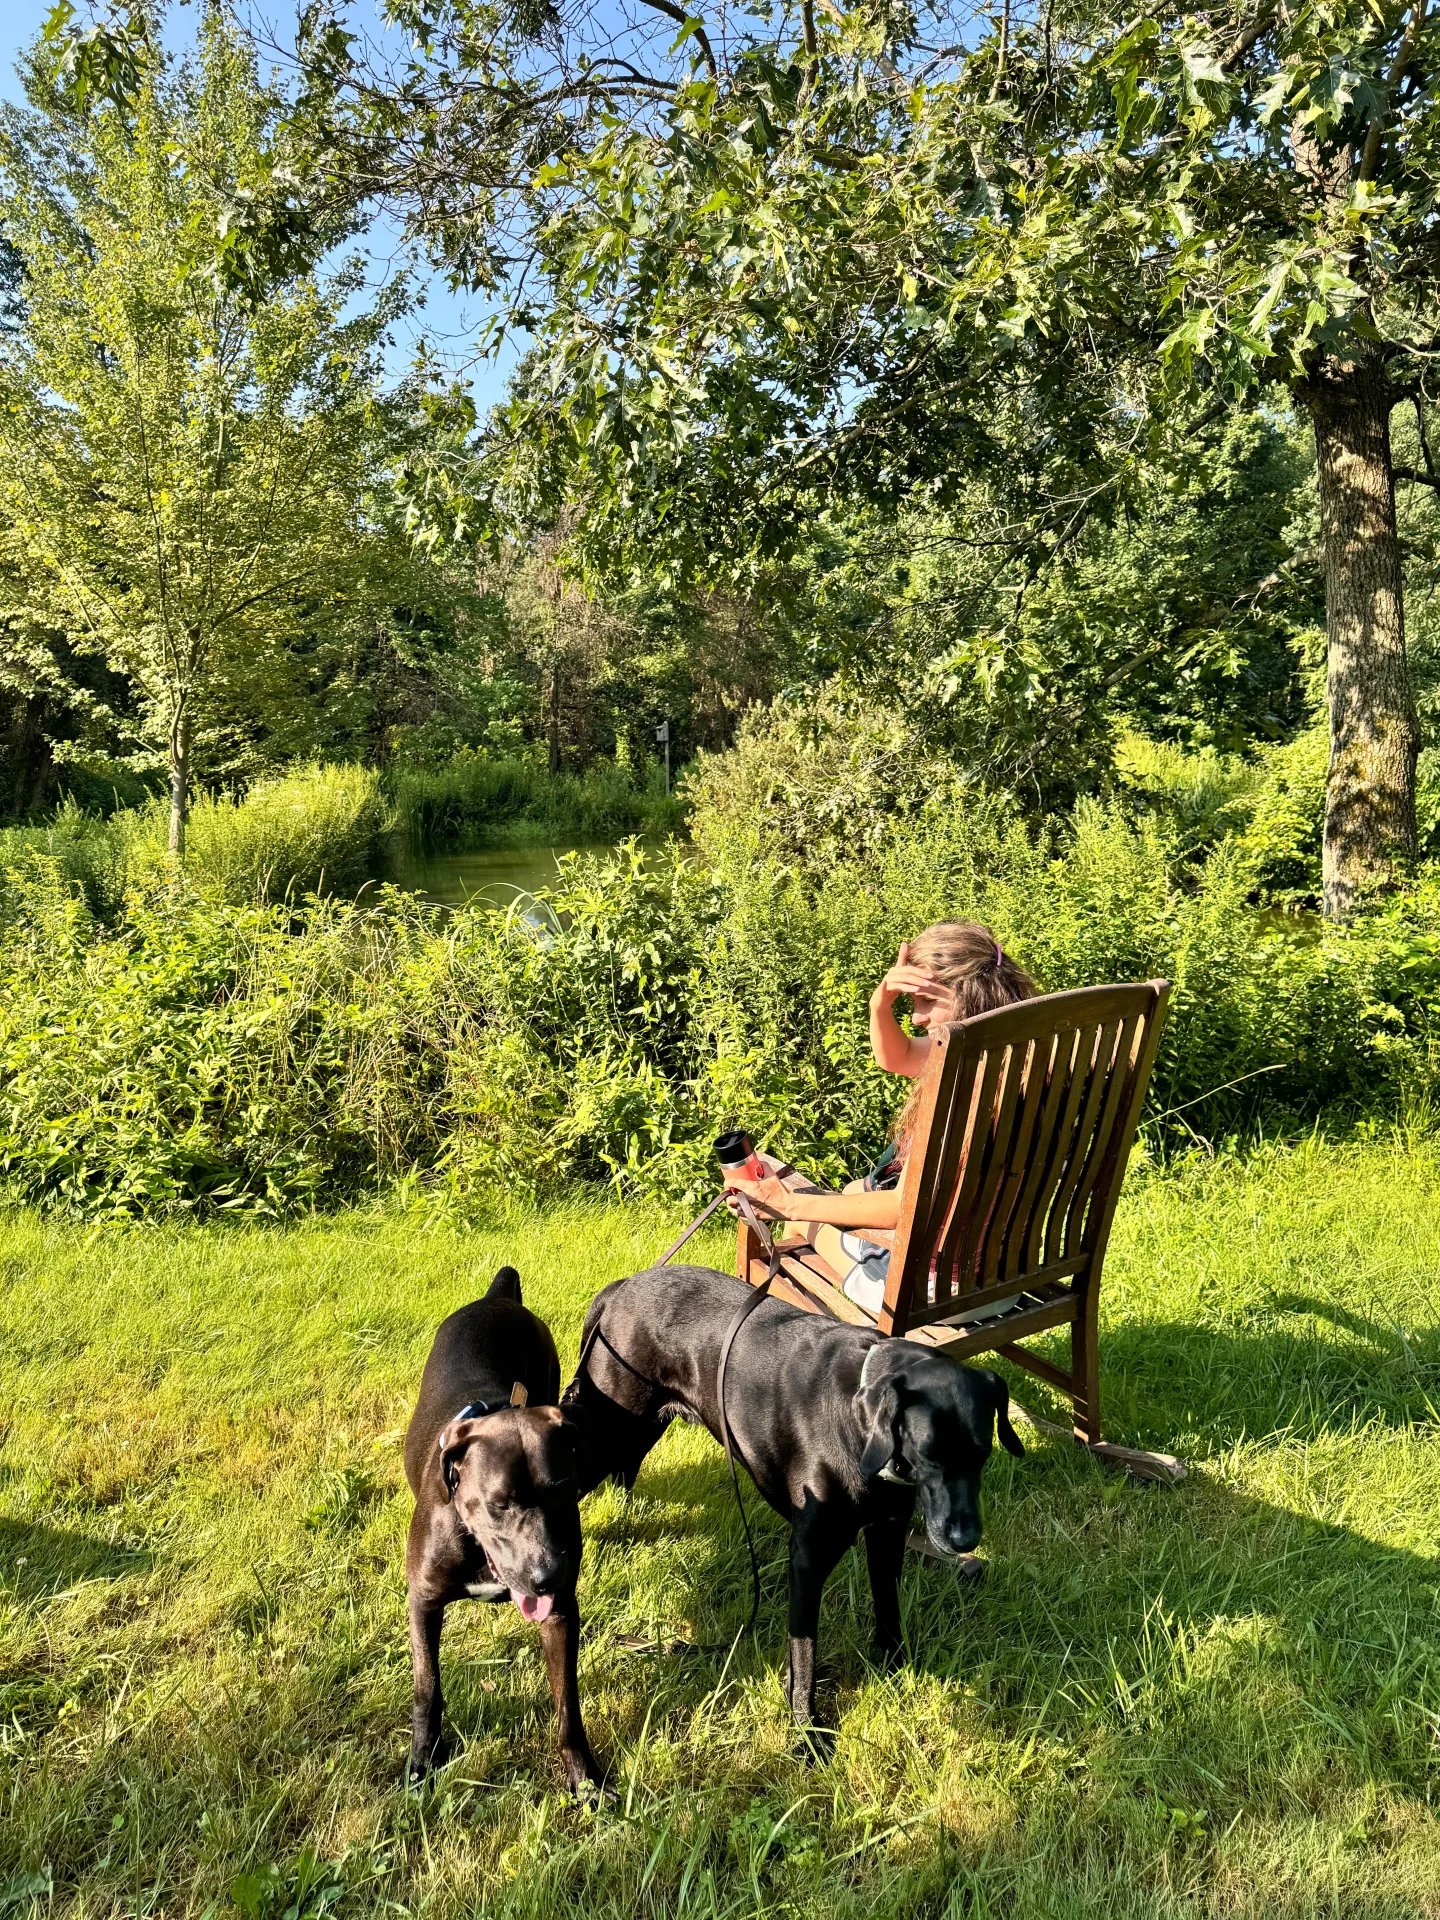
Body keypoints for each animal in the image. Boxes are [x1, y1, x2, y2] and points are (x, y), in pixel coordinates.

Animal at [401, 1267, 602, 1789]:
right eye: (498, 1505)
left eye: (563, 1493)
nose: (548, 1577)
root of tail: (498, 1296)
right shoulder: (423, 1601)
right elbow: (427, 1688)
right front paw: (423, 1759)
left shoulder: (560, 1614)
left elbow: (568, 1705)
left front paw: (584, 1779)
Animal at [556, 1267, 1021, 1735]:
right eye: (928, 1455)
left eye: (984, 1453)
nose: (965, 1539)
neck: (859, 1429)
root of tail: (621, 1287)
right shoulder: (808, 1557)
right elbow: (804, 1655)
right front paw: (807, 1730)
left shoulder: (887, 1534)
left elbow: (888, 1610)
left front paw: (897, 1669)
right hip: (610, 1428)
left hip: (638, 1428)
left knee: (625, 1472)